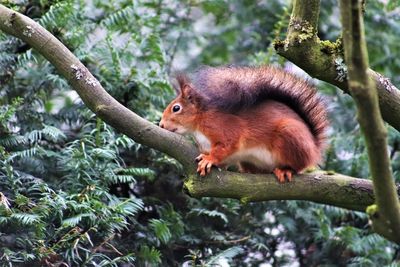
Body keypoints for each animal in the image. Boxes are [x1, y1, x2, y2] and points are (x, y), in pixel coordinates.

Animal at [159, 66, 328, 183]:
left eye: (176, 108)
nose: (160, 125)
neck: (199, 123)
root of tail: (314, 147)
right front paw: (207, 158)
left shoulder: (225, 128)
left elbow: (227, 145)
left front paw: (209, 159)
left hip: (290, 135)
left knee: (299, 165)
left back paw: (286, 170)